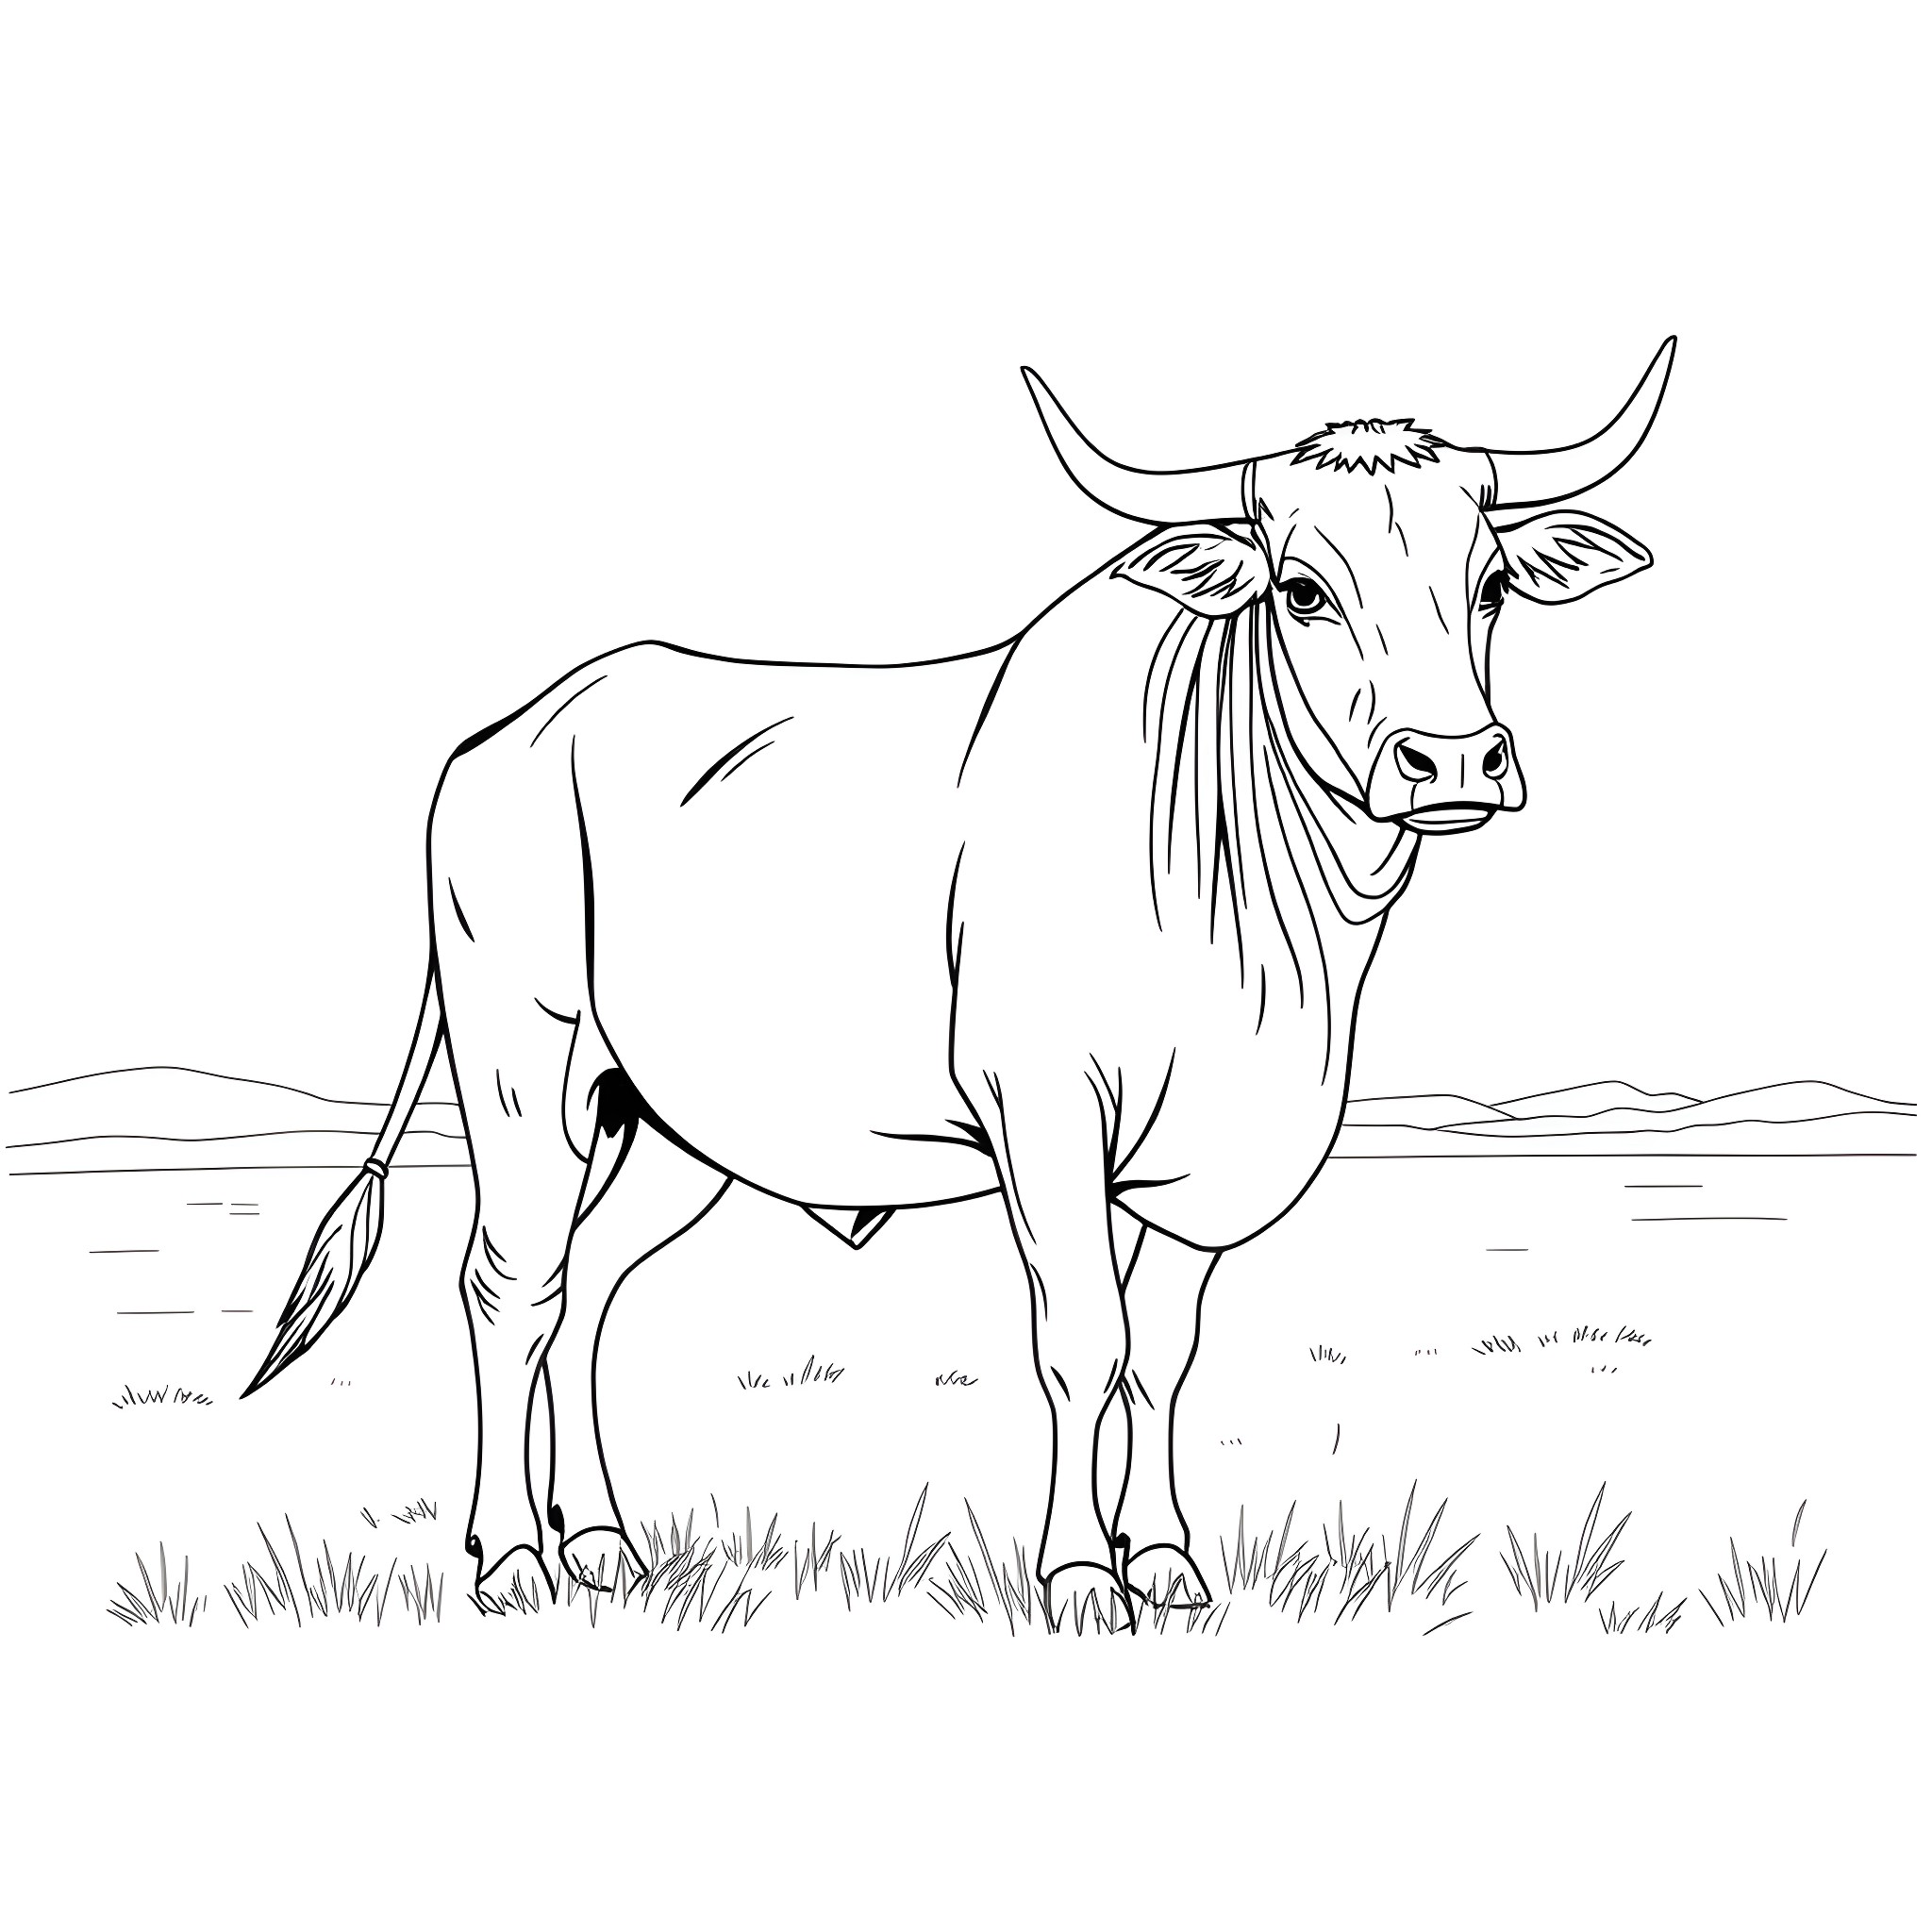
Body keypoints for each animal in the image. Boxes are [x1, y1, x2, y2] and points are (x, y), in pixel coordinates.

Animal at [246, 343, 1676, 1628]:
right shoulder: (1043, 1111)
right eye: (1303, 589)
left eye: (1489, 586)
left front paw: (1166, 1560)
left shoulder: (1198, 1164)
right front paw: (1081, 1575)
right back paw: (509, 1557)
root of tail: (517, 728)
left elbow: (1161, 1355)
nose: (1454, 759)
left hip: (663, 1114)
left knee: (588, 1288)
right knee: (510, 1286)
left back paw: (601, 1544)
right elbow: (1084, 1342)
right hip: (520, 1065)